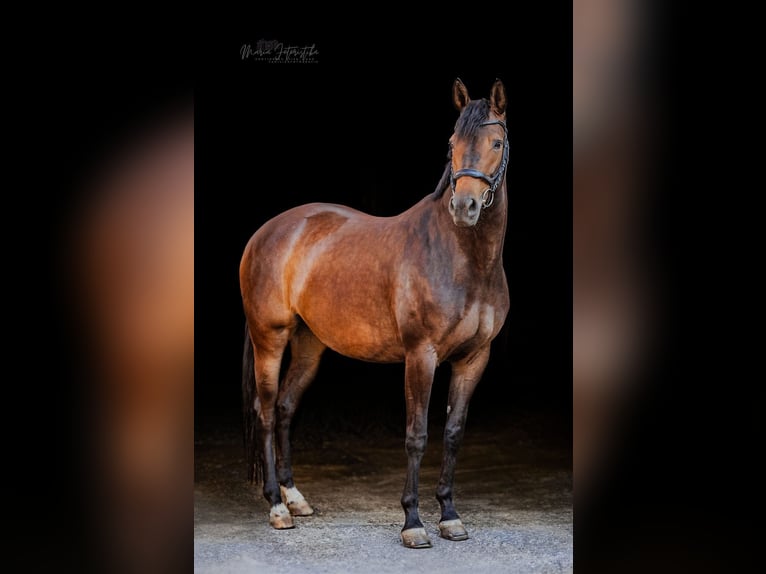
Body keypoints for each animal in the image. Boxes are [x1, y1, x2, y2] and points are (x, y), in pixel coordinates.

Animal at [243, 77, 512, 548]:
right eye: (451, 144)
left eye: (496, 143)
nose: (464, 207)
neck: (466, 261)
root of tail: (267, 232)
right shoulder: (421, 356)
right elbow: (417, 435)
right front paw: (413, 523)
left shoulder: (474, 358)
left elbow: (453, 434)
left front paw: (450, 516)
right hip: (269, 339)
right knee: (266, 409)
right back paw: (277, 506)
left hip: (310, 344)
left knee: (286, 407)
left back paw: (296, 499)